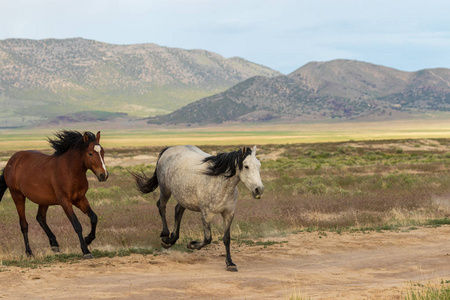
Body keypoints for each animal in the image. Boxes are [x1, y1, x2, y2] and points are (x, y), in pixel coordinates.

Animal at [0, 130, 108, 258]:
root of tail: (11, 161)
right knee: (24, 224)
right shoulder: (65, 202)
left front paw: (88, 239)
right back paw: (29, 252)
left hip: (43, 199)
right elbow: (77, 225)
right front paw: (86, 250)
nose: (104, 175)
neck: (70, 171)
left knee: (40, 218)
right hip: (17, 195)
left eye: (103, 152)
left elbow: (94, 217)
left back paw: (54, 244)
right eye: (90, 153)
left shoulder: (80, 199)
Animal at [131, 145, 264, 272]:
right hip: (165, 190)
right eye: (246, 166)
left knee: (178, 211)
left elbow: (226, 239)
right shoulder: (206, 214)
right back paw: (166, 238)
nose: (259, 190)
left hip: (183, 197)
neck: (219, 184)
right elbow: (208, 238)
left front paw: (230, 264)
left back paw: (173, 238)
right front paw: (191, 245)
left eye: (259, 165)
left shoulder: (228, 214)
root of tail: (169, 149)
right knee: (161, 206)